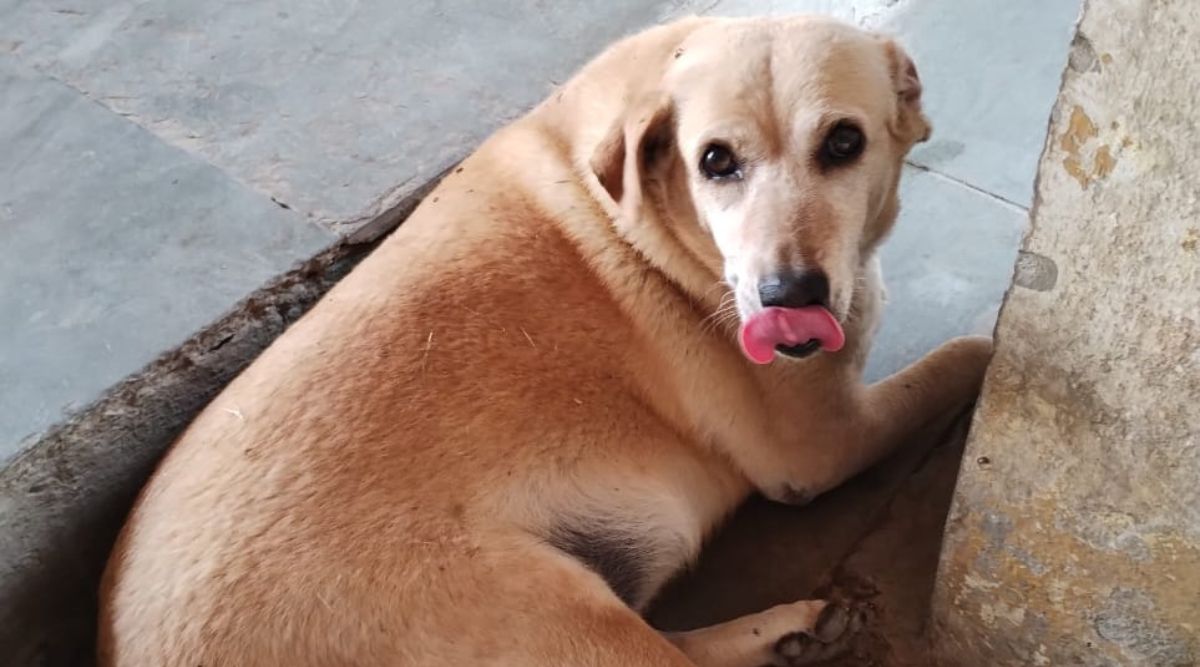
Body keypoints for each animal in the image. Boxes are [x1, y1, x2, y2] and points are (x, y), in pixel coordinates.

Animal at [96, 15, 993, 667]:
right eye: (716, 161)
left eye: (844, 142)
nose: (788, 301)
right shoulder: (819, 444)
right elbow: (965, 355)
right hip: (568, 627)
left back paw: (788, 633)